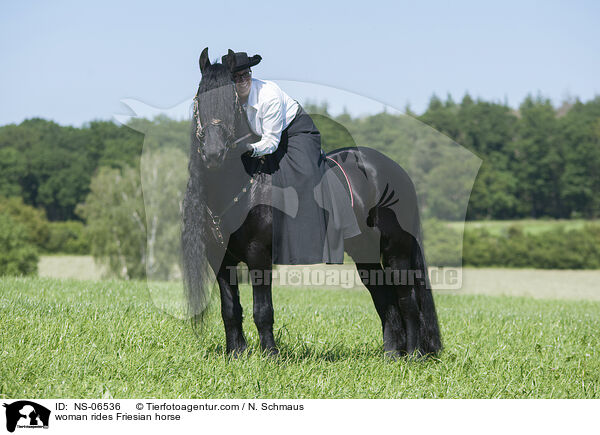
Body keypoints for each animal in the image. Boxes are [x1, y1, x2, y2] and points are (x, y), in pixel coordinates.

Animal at [182, 48, 440, 362]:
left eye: (231, 99)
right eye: (199, 97)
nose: (213, 153)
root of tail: (397, 171)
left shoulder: (259, 255)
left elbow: (262, 310)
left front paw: (270, 356)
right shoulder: (219, 259)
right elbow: (230, 309)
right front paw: (236, 354)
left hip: (397, 250)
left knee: (407, 299)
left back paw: (413, 355)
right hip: (364, 252)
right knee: (384, 297)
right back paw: (392, 353)